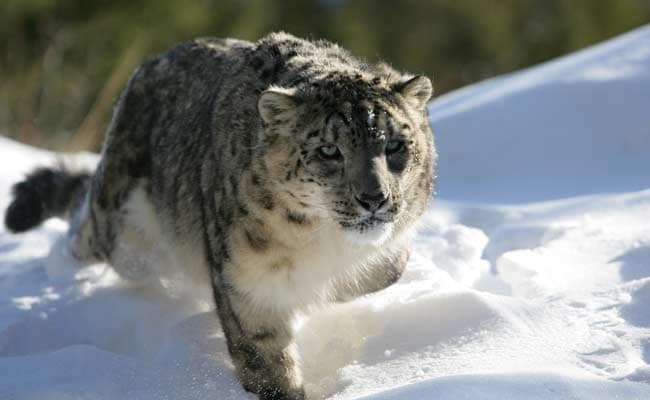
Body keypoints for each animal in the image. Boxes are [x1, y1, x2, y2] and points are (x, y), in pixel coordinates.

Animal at [3, 32, 436, 398]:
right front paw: (283, 388)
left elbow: (387, 269)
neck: (325, 239)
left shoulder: (388, 247)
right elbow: (263, 356)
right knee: (89, 232)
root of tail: (151, 62)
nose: (374, 198)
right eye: (329, 151)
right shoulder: (247, 278)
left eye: (395, 145)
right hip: (123, 232)